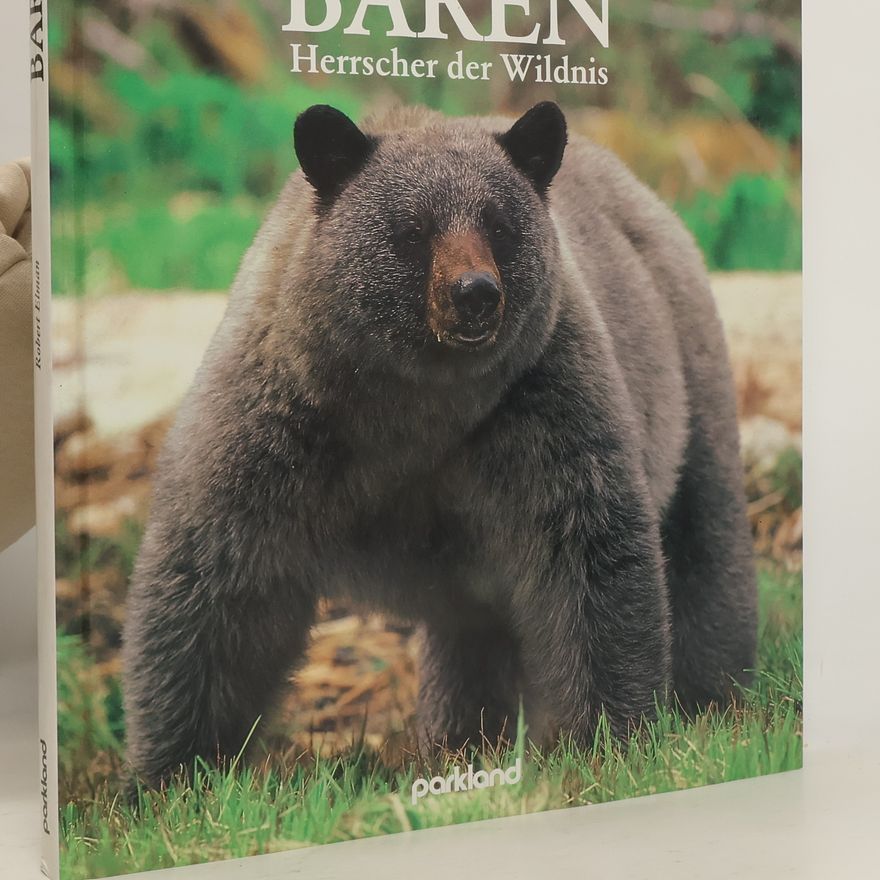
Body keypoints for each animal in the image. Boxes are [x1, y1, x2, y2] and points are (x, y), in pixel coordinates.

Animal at [122, 102, 758, 787]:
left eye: (500, 226)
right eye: (412, 230)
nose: (475, 293)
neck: (412, 400)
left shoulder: (541, 406)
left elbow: (593, 563)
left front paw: (608, 740)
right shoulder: (277, 428)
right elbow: (220, 586)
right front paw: (175, 775)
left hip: (687, 382)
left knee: (702, 544)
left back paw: (713, 699)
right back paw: (461, 738)